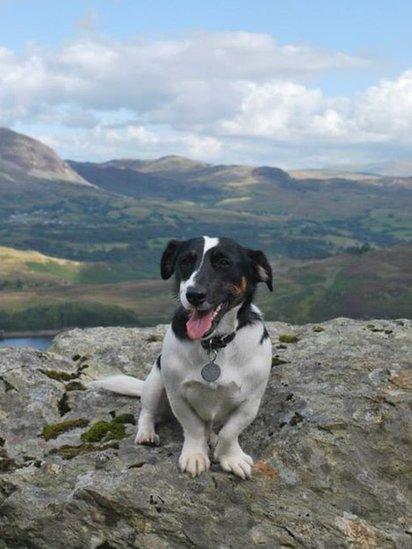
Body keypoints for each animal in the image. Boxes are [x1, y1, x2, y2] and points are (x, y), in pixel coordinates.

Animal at [93, 235, 274, 480]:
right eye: (185, 261)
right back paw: (147, 433)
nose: (194, 295)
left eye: (224, 262)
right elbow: (193, 427)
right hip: (155, 382)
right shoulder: (177, 395)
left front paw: (230, 457)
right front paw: (195, 456)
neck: (214, 343)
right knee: (147, 412)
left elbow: (230, 431)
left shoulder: (250, 401)